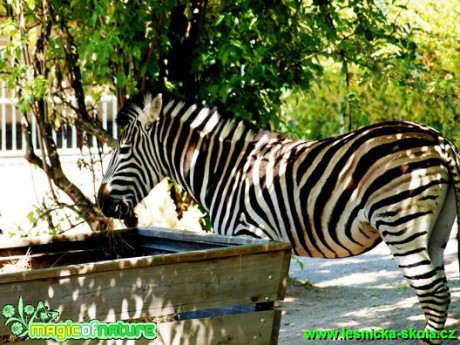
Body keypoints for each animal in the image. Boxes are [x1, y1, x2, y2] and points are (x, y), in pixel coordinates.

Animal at [98, 89, 460, 342]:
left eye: (123, 150)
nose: (101, 202)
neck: (225, 170)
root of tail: (438, 140)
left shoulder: (248, 238)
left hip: (400, 224)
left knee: (432, 294)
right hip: (436, 233)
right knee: (441, 293)